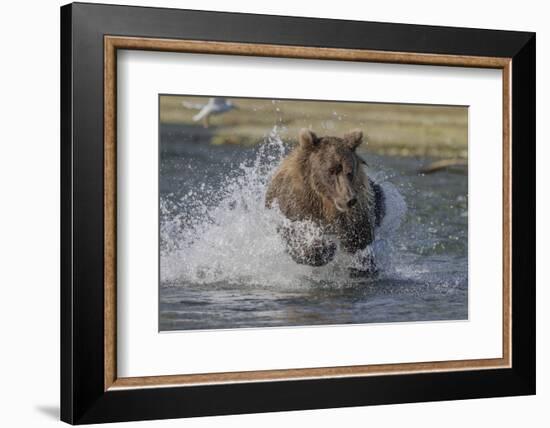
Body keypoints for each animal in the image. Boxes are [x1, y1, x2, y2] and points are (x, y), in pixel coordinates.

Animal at [266, 129, 386, 272]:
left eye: (349, 172)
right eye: (331, 170)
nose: (349, 199)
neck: (325, 203)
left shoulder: (357, 210)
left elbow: (359, 238)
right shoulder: (296, 204)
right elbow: (294, 231)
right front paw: (324, 249)